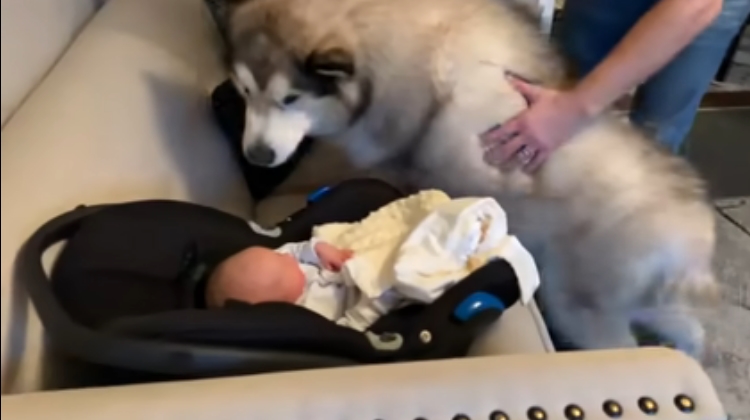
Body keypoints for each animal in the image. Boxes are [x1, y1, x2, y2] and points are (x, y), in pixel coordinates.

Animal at [223, 0, 718, 358]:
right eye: (246, 91)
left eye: (290, 98)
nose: (257, 156)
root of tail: (693, 230)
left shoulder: (404, 164)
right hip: (626, 297)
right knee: (689, 326)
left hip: (578, 303)